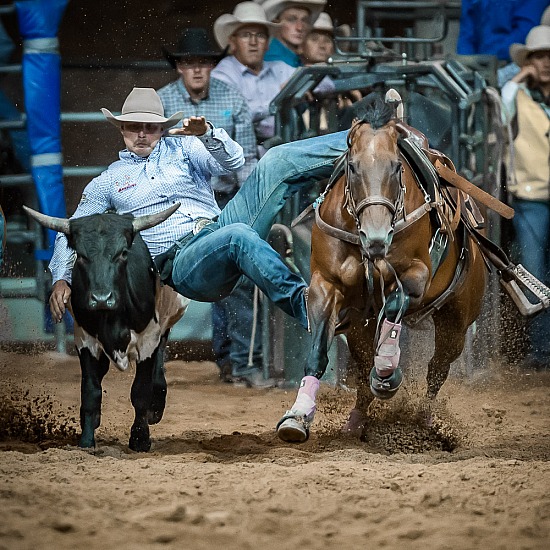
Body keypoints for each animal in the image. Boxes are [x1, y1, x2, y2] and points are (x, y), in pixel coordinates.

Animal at [278, 94, 490, 444]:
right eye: (352, 166)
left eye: (396, 166)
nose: (376, 237)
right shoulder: (325, 285)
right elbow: (318, 351)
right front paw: (297, 416)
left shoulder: (416, 275)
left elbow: (393, 310)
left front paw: (387, 369)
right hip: (357, 326)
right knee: (364, 368)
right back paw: (357, 421)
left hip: (457, 321)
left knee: (437, 369)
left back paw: (423, 418)